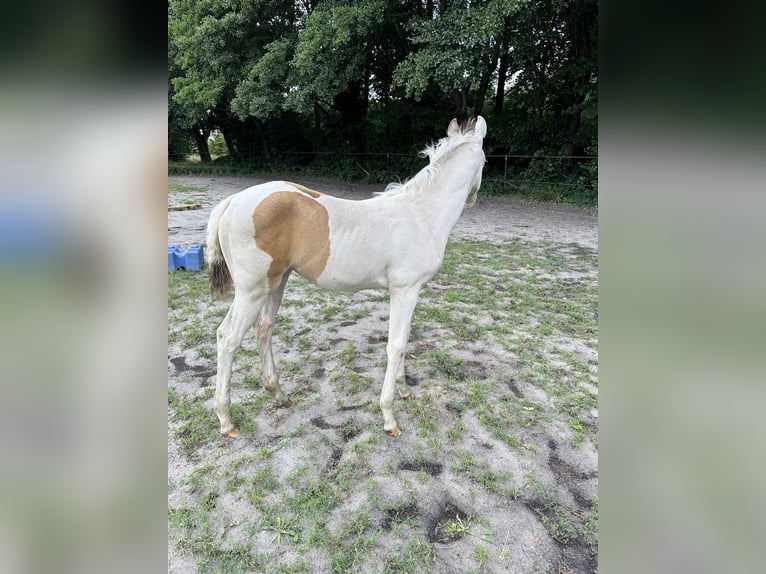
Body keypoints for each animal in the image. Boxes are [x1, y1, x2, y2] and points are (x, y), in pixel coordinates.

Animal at [207, 118, 488, 440]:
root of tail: (232, 201)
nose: (473, 199)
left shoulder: (408, 291)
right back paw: (226, 419)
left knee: (263, 328)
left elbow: (404, 341)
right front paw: (389, 416)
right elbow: (396, 345)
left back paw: (278, 394)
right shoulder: (405, 289)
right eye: (485, 161)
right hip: (251, 290)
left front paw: (405, 391)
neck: (422, 215)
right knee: (228, 338)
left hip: (275, 283)